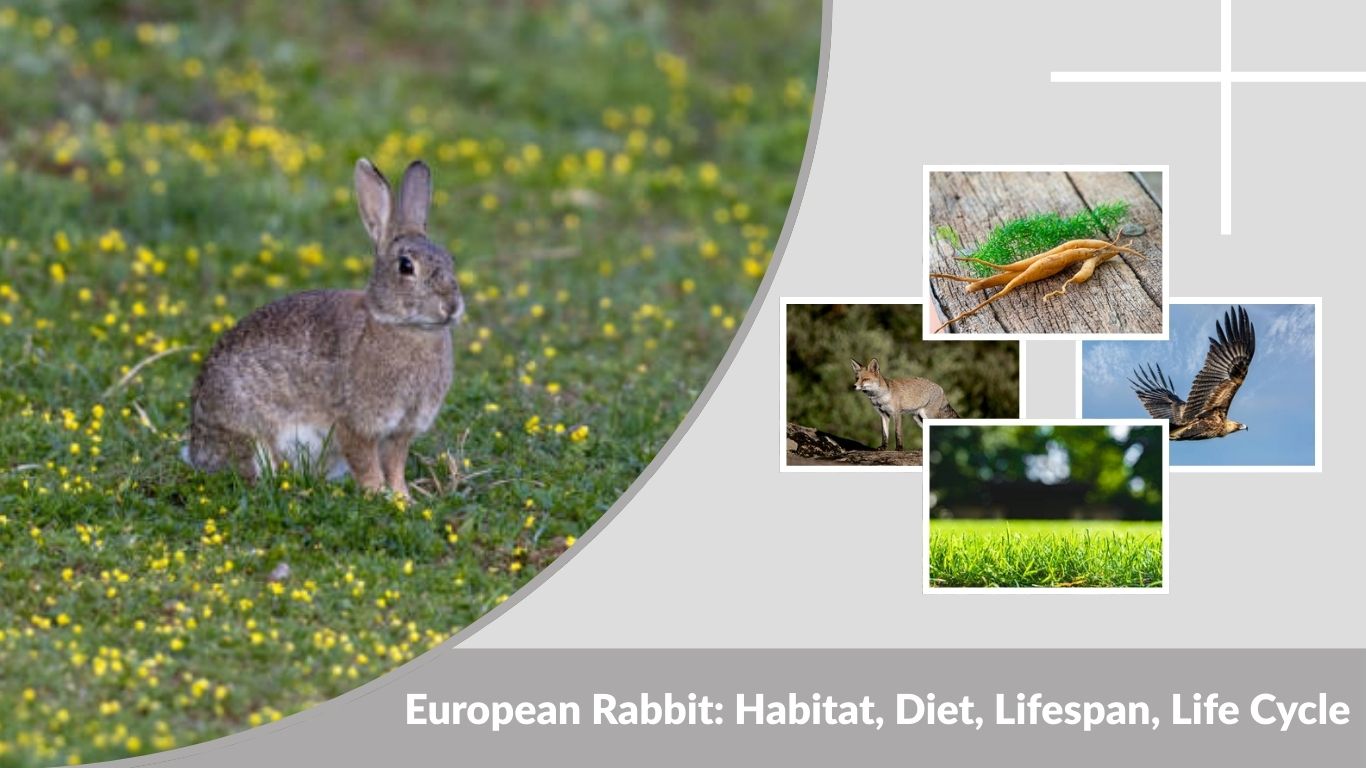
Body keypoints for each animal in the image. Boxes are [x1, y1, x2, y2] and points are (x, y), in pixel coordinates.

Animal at [185, 158, 465, 498]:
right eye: (406, 266)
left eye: (450, 259)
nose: (451, 306)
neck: (406, 327)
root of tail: (197, 451)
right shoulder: (353, 422)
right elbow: (366, 463)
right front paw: (378, 496)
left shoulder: (401, 430)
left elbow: (395, 465)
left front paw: (402, 499)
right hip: (250, 435)